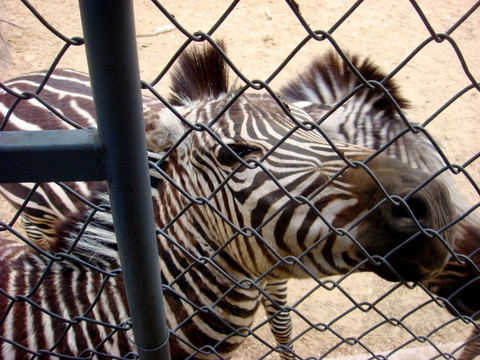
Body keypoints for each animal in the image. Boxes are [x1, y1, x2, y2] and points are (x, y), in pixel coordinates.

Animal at [0, 43, 458, 360]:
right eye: (233, 155)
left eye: (315, 129)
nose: (434, 203)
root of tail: (21, 81)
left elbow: (282, 323)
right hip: (34, 211)